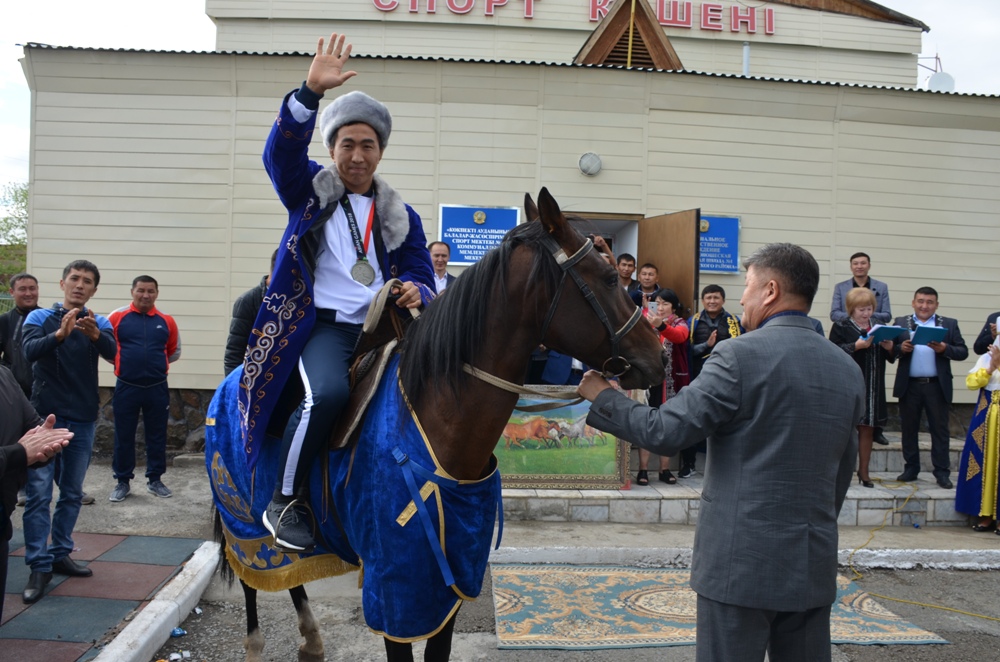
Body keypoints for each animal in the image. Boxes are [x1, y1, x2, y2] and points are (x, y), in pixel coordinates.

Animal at [211, 188, 664, 662]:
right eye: (610, 279)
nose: (661, 355)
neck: (438, 419)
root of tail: (233, 379)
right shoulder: (394, 587)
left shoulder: (450, 580)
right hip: (240, 518)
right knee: (251, 577)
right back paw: (255, 644)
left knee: (292, 576)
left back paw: (312, 638)